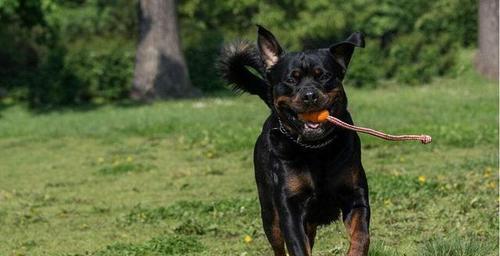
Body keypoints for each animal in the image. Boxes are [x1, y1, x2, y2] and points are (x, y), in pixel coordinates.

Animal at [220, 26, 372, 256]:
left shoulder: (354, 194)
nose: (309, 95)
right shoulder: (290, 206)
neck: (315, 150)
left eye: (323, 76)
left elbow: (361, 236)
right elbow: (297, 246)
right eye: (292, 79)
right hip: (269, 213)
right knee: (277, 244)